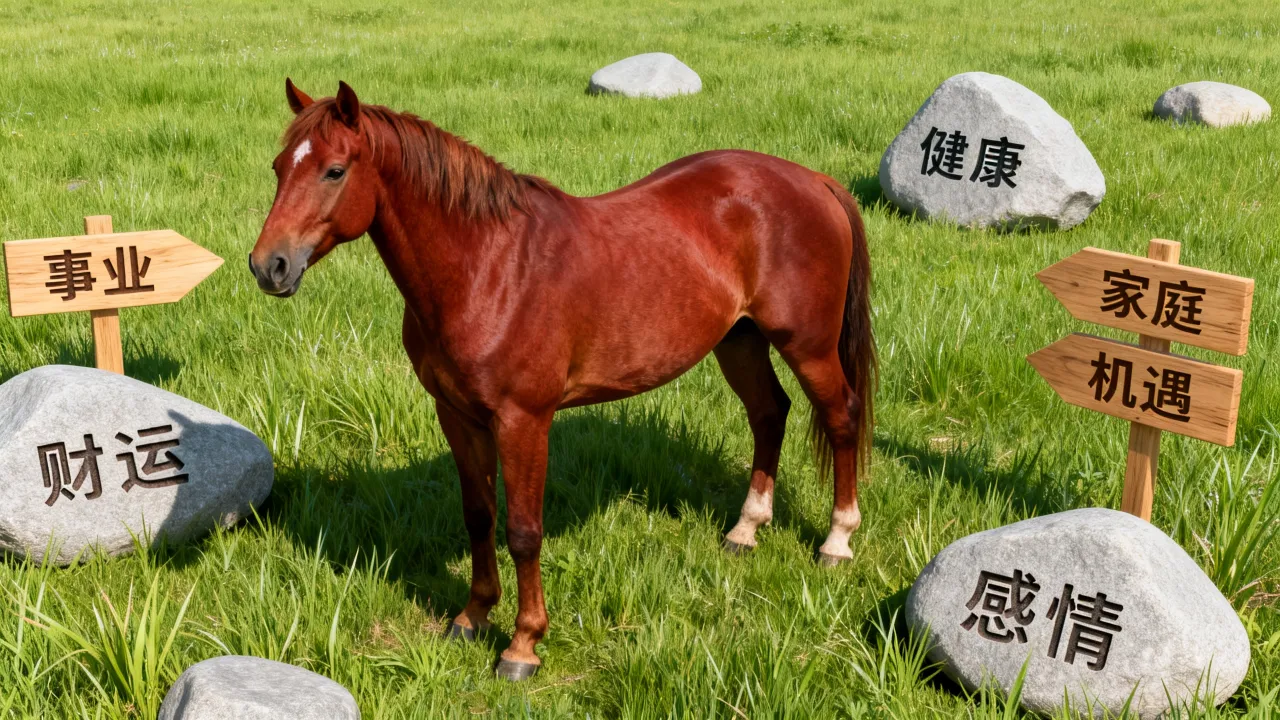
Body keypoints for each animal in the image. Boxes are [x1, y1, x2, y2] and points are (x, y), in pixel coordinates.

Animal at [250, 79, 876, 681]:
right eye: (279, 167)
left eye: (334, 170)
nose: (268, 266)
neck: (488, 267)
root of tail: (814, 181)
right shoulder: (457, 414)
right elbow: (478, 515)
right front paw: (473, 616)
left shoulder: (524, 421)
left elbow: (524, 531)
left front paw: (523, 645)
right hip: (739, 340)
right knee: (769, 413)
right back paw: (746, 529)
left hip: (808, 346)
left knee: (840, 416)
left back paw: (838, 540)